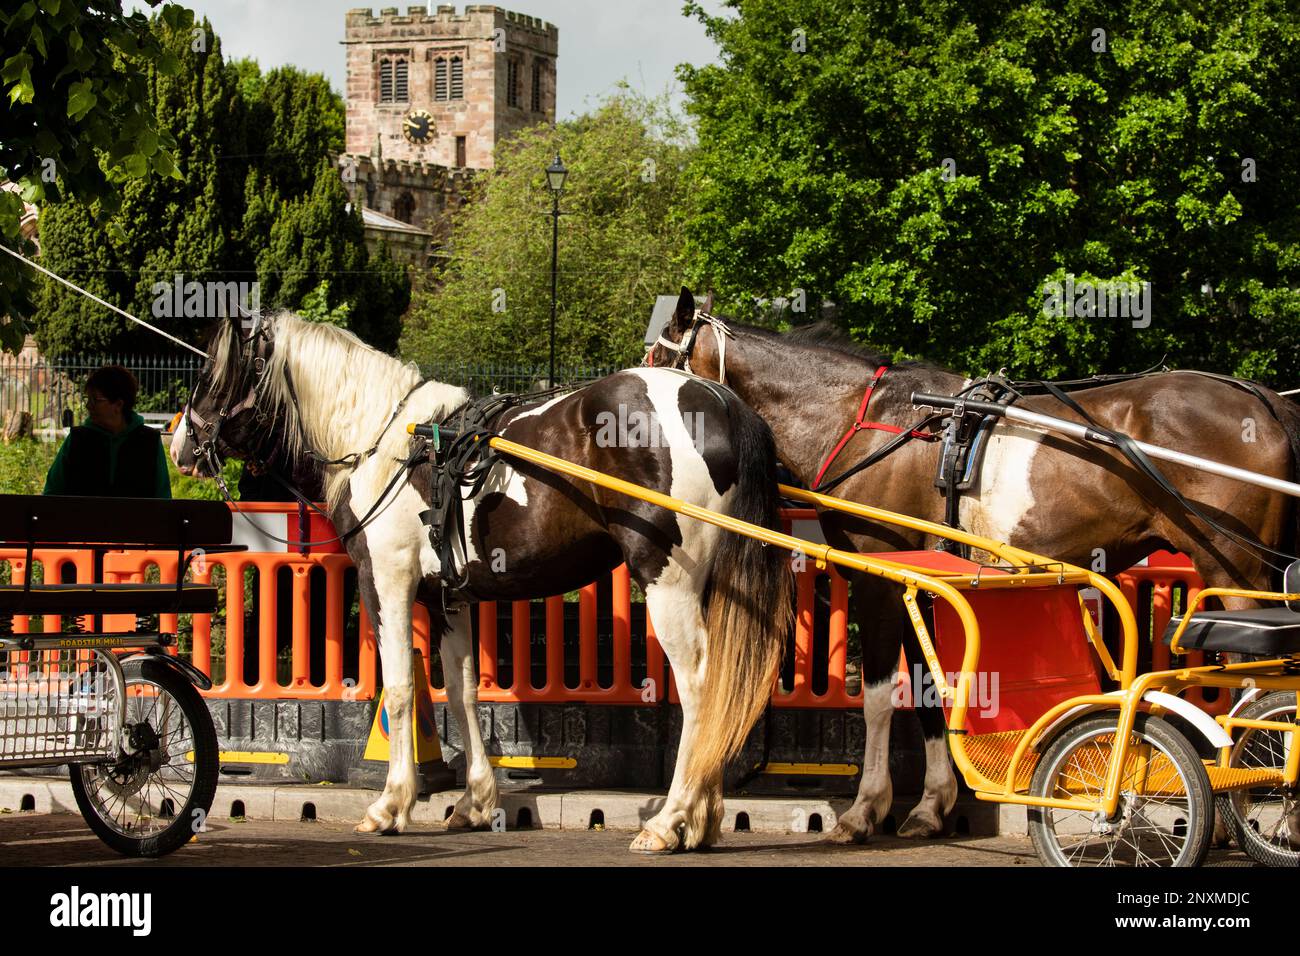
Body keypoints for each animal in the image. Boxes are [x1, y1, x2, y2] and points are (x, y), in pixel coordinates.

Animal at [167, 312, 785, 853]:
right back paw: (703, 819)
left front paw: (391, 805)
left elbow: (401, 688)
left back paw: (671, 820)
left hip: (668, 583)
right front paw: (475, 803)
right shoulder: (449, 598)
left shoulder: (387, 581)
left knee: (700, 687)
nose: (179, 446)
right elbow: (462, 693)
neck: (390, 442)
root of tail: (722, 402)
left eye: (211, 373)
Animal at [650, 286, 1300, 842]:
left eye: (656, 355)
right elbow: (926, 692)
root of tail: (1265, 401)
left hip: (1236, 575)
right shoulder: (919, 581)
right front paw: (930, 805)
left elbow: (880, 697)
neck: (860, 420)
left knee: (1257, 685)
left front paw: (864, 810)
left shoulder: (880, 578)